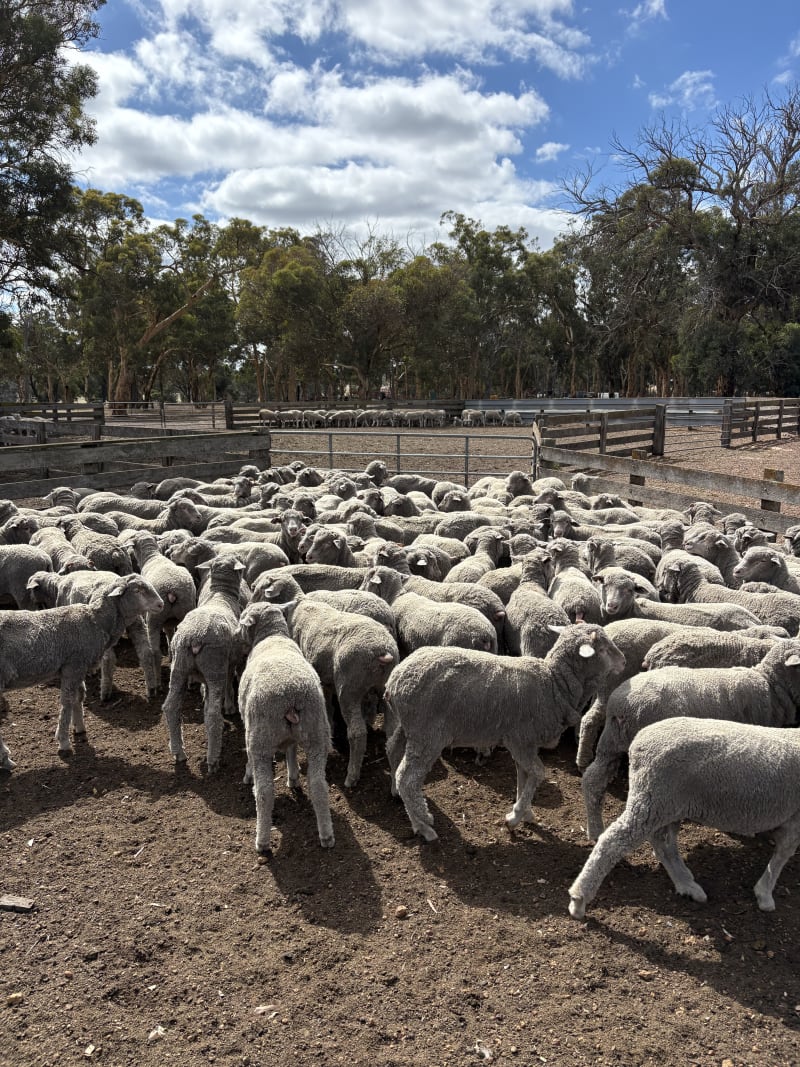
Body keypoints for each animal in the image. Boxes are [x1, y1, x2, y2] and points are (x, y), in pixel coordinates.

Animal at [0, 575, 163, 769]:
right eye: (137, 590)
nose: (161, 604)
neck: (95, 621)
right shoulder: (73, 665)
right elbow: (67, 701)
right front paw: (63, 741)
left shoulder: (78, 668)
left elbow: (78, 697)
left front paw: (79, 728)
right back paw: (6, 758)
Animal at [161, 556, 247, 772]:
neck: (222, 595)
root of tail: (194, 638)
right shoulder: (231, 661)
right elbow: (228, 684)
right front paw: (230, 706)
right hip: (213, 666)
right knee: (213, 714)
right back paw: (213, 759)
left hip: (179, 666)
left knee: (171, 706)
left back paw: (178, 751)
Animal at [234, 602, 334, 853]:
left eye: (242, 619)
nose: (236, 635)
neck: (273, 636)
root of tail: (290, 695)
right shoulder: (292, 737)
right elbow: (290, 749)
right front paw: (293, 777)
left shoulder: (249, 727)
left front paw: (247, 774)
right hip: (317, 732)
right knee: (318, 786)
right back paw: (326, 835)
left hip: (260, 738)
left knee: (264, 792)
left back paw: (262, 841)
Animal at [383, 623, 625, 841]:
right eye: (602, 649)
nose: (624, 661)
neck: (554, 683)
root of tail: (394, 681)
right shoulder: (521, 740)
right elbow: (538, 773)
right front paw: (514, 817)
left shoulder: (525, 744)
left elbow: (523, 774)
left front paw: (526, 812)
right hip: (428, 735)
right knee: (408, 778)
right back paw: (423, 825)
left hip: (409, 727)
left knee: (392, 749)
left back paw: (399, 798)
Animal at [569, 718, 800, 917]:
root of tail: (639, 741)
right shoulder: (796, 817)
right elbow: (783, 853)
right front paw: (765, 893)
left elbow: (783, 851)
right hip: (654, 797)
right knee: (613, 841)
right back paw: (579, 899)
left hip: (666, 804)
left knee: (664, 844)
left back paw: (686, 884)